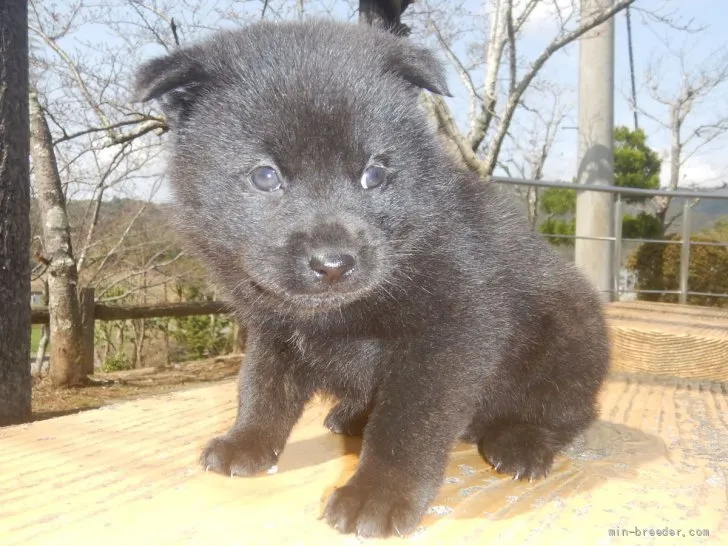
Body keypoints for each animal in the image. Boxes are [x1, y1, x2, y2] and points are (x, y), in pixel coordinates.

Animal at [134, 20, 612, 536]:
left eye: (374, 174)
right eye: (265, 176)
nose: (333, 263)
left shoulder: (449, 335)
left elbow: (407, 424)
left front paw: (377, 495)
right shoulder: (273, 329)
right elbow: (262, 387)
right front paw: (246, 442)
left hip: (572, 338)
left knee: (568, 410)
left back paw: (522, 444)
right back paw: (350, 416)